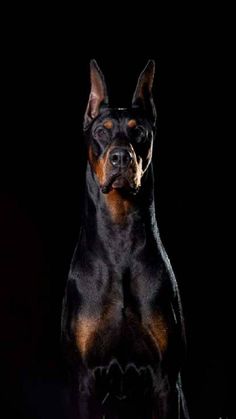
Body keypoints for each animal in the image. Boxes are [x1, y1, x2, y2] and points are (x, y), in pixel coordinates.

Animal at [60, 60, 190, 419]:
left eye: (139, 131)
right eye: (101, 131)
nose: (121, 157)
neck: (120, 237)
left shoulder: (164, 379)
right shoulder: (85, 379)